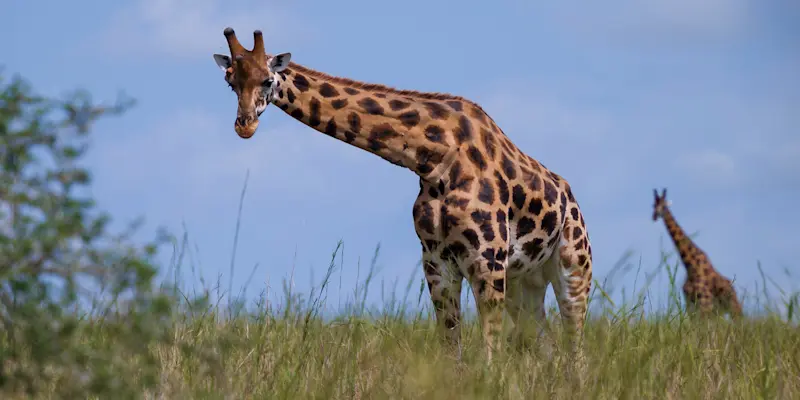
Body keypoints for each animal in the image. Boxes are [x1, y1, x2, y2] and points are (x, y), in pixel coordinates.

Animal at [211, 28, 594, 363]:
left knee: (576, 352)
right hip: (524, 280)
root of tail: (573, 202)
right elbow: (452, 355)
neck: (434, 161)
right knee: (547, 348)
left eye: (268, 80)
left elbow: (490, 356)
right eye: (230, 82)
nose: (245, 125)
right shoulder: (437, 263)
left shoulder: (486, 260)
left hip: (573, 267)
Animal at [652, 188, 743, 318]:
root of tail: (732, 287)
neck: (690, 266)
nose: (654, 216)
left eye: (664, 206)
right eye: (653, 205)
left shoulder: (705, 305)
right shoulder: (691, 305)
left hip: (732, 307)